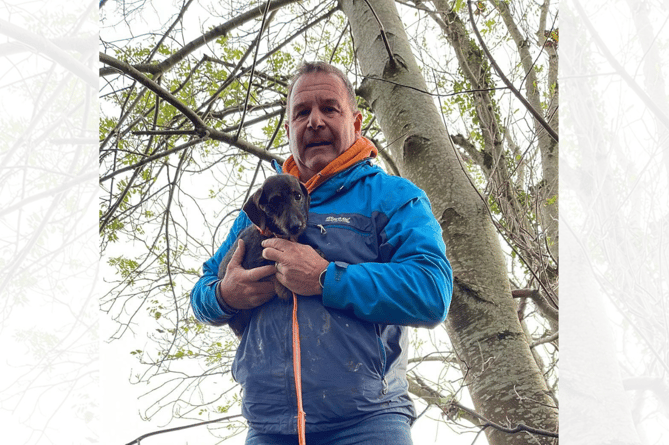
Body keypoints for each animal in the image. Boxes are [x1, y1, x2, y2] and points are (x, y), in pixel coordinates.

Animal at [219, 174, 314, 336]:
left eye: (298, 196)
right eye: (274, 202)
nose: (296, 226)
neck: (272, 234)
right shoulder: (252, 264)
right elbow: (272, 268)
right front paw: (284, 289)